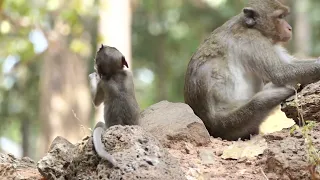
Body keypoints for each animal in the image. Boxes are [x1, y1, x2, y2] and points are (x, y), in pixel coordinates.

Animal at [184, 0, 320, 141]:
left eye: (284, 16)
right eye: (280, 17)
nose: (289, 28)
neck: (251, 27)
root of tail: (210, 126)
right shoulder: (253, 40)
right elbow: (280, 72)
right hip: (233, 122)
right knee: (260, 102)